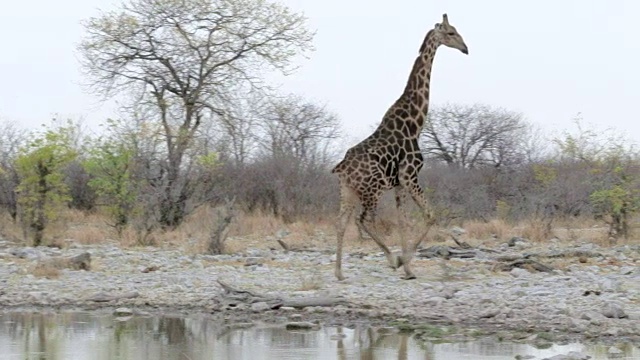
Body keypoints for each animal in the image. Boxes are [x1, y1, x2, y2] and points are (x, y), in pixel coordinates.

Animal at [332, 13, 468, 282]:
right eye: (451, 33)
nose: (465, 48)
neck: (415, 123)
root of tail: (341, 168)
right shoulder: (410, 175)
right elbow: (429, 215)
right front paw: (405, 263)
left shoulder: (399, 184)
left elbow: (403, 221)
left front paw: (408, 267)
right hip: (372, 190)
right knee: (363, 220)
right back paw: (391, 259)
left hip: (348, 191)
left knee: (342, 223)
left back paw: (339, 273)